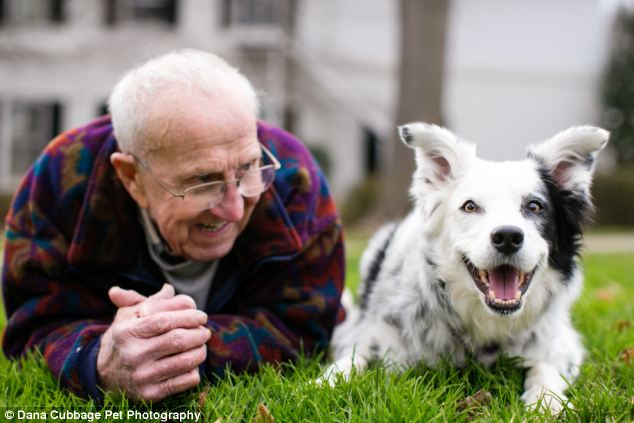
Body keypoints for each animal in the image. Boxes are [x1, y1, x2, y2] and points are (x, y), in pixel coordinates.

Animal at [320, 121, 608, 412]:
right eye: (470, 206)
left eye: (534, 206)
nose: (507, 237)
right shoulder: (368, 335)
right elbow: (350, 361)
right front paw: (322, 384)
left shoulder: (561, 342)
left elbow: (545, 367)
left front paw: (546, 402)